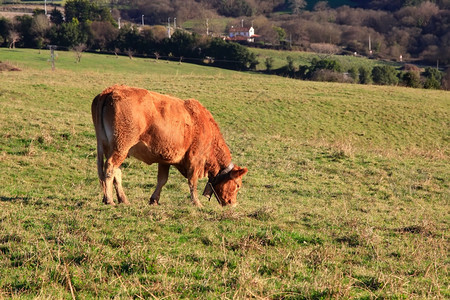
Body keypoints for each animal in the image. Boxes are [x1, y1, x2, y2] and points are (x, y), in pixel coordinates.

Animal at [90, 84, 246, 206]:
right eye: (238, 185)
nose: (233, 203)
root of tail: (111, 90)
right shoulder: (195, 160)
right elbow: (192, 182)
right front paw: (196, 202)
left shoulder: (165, 159)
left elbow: (162, 180)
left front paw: (154, 200)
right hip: (121, 147)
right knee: (110, 168)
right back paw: (109, 199)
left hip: (113, 148)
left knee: (116, 172)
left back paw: (122, 199)